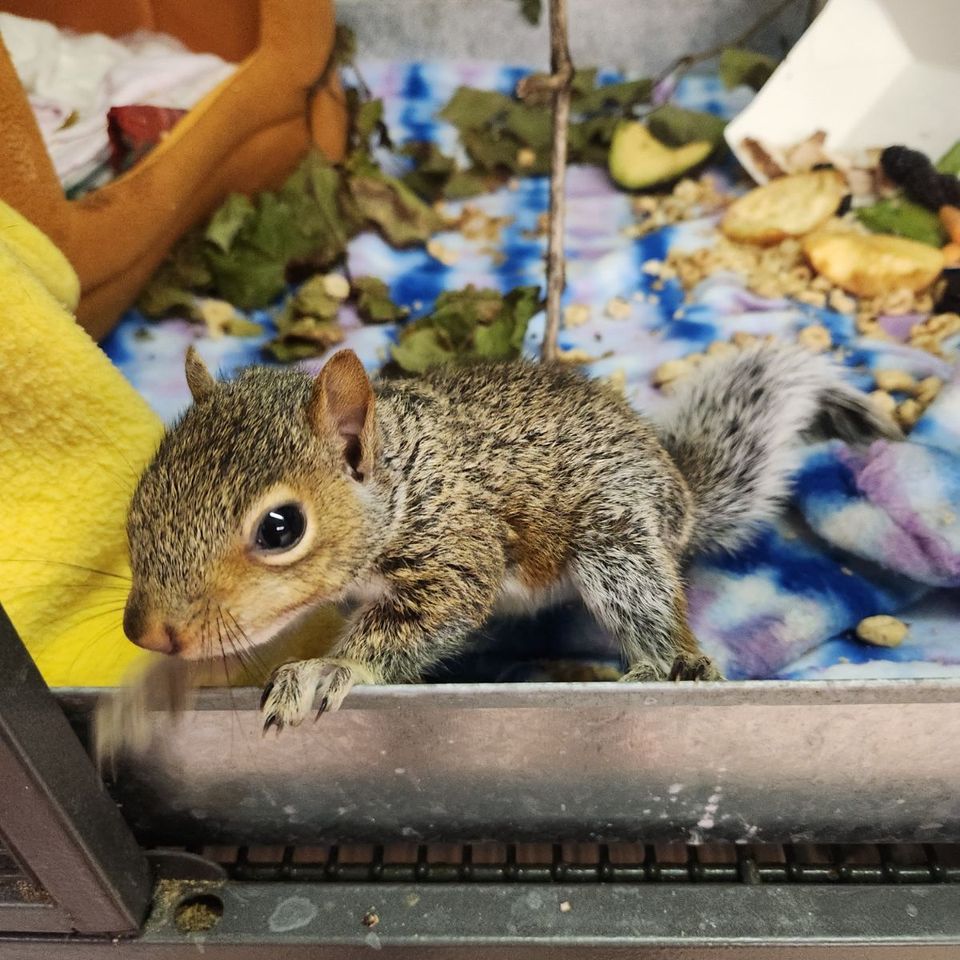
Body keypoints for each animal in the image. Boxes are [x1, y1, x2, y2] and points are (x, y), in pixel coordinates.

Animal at [122, 342, 900, 731]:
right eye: (144, 488)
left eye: (281, 528)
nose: (148, 632)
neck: (403, 481)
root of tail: (679, 492)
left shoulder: (456, 548)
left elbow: (425, 620)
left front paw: (324, 672)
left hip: (615, 544)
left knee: (661, 625)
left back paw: (660, 666)